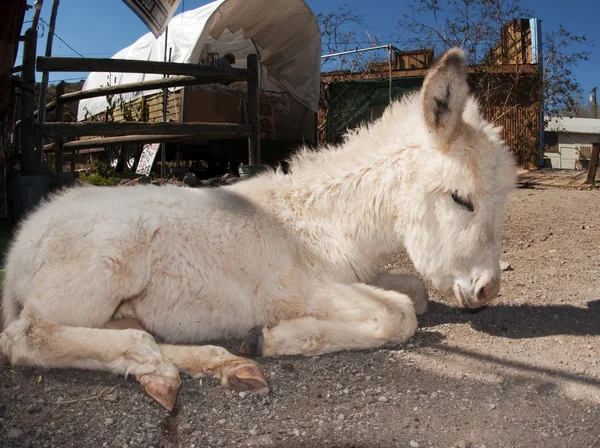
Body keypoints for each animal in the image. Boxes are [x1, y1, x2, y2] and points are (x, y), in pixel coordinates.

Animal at [0, 48, 516, 410]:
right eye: (462, 199)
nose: (487, 291)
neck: (324, 222)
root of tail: (20, 244)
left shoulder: (357, 276)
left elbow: (416, 292)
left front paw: (257, 342)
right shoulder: (297, 290)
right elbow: (401, 314)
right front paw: (274, 338)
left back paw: (219, 364)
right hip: (100, 272)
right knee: (25, 338)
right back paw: (166, 365)